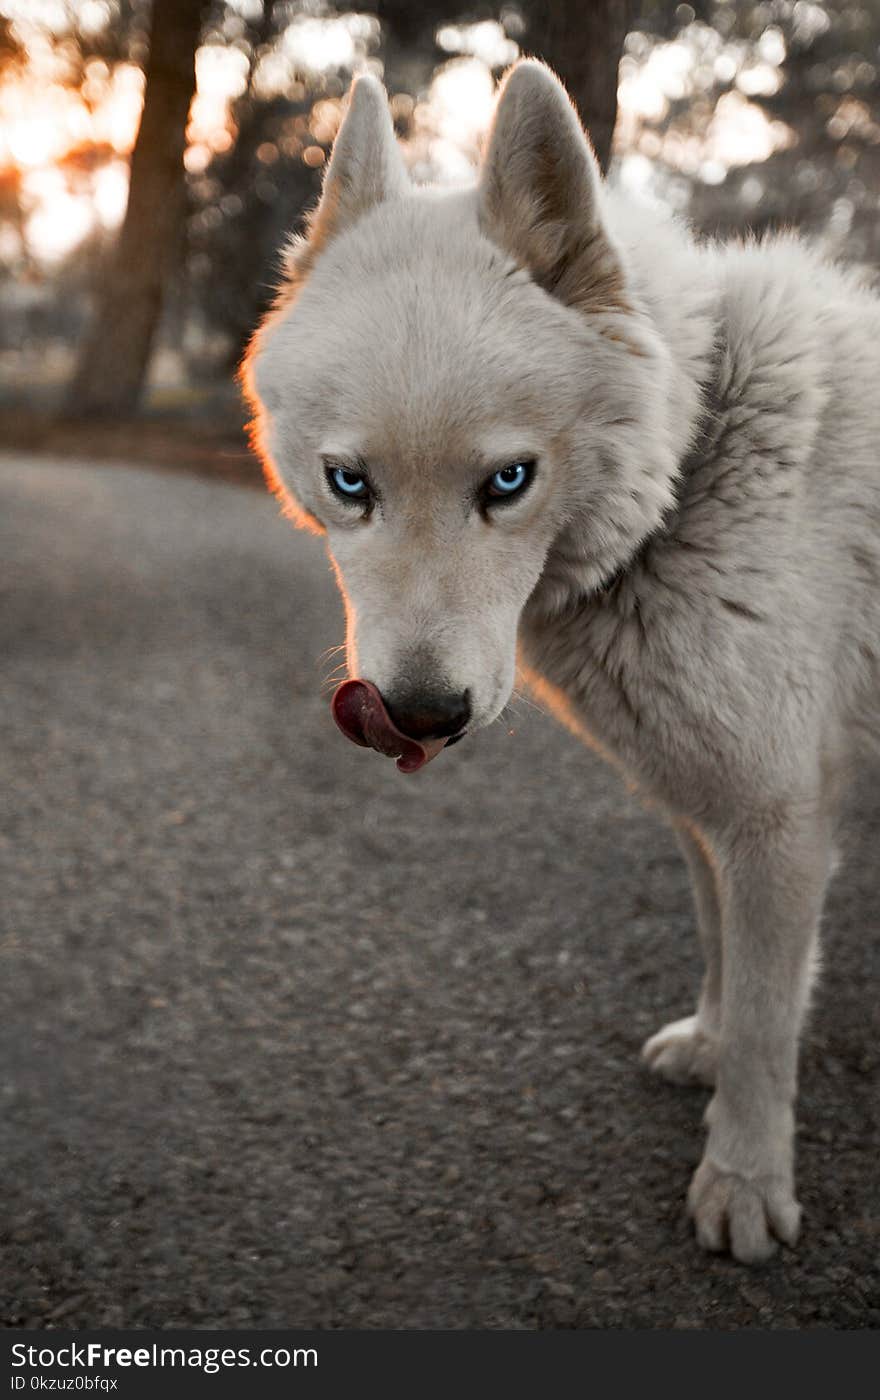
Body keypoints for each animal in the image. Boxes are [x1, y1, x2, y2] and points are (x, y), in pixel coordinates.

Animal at [240, 60, 878, 1265]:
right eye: (349, 484)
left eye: (508, 481)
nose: (419, 714)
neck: (696, 459)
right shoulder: (704, 808)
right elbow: (724, 960)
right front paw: (707, 1049)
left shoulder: (779, 820)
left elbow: (769, 1019)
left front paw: (742, 1182)